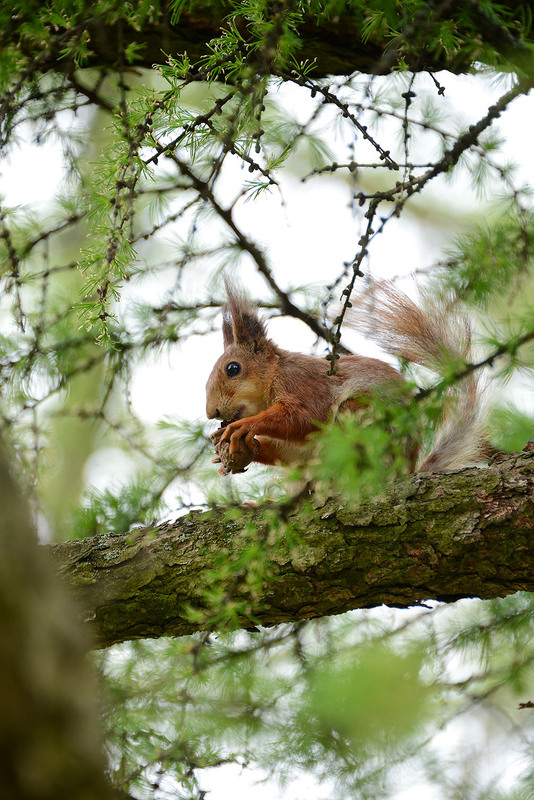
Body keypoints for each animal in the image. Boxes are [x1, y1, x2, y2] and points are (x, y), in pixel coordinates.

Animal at [205, 282, 486, 476]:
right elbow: (291, 451)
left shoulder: (303, 382)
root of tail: (406, 470)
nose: (211, 412)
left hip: (361, 417)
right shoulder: (300, 448)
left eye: (233, 368)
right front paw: (234, 452)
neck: (274, 373)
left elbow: (305, 417)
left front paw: (246, 426)